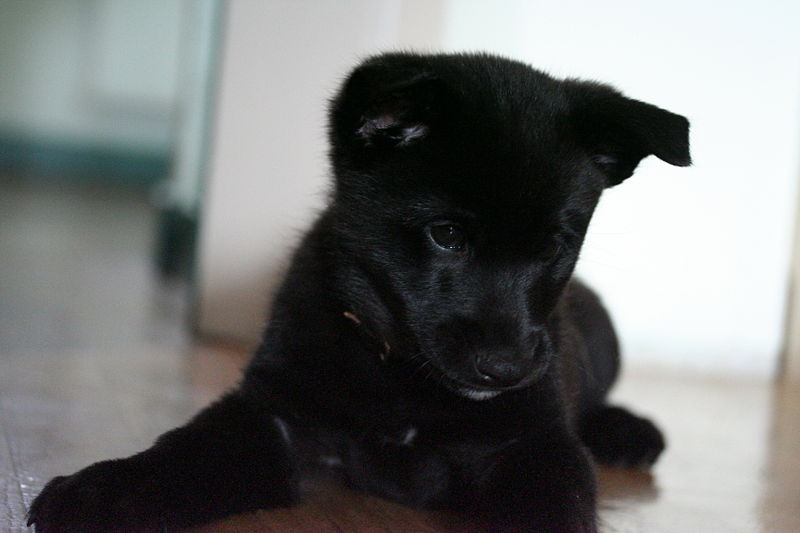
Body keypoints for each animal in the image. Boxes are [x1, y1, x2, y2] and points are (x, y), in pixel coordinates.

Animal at [29, 53, 688, 532]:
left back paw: (627, 431)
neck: (397, 370)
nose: (506, 370)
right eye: (447, 235)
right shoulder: (272, 413)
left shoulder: (536, 442)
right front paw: (98, 489)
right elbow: (180, 454)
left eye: (554, 246)